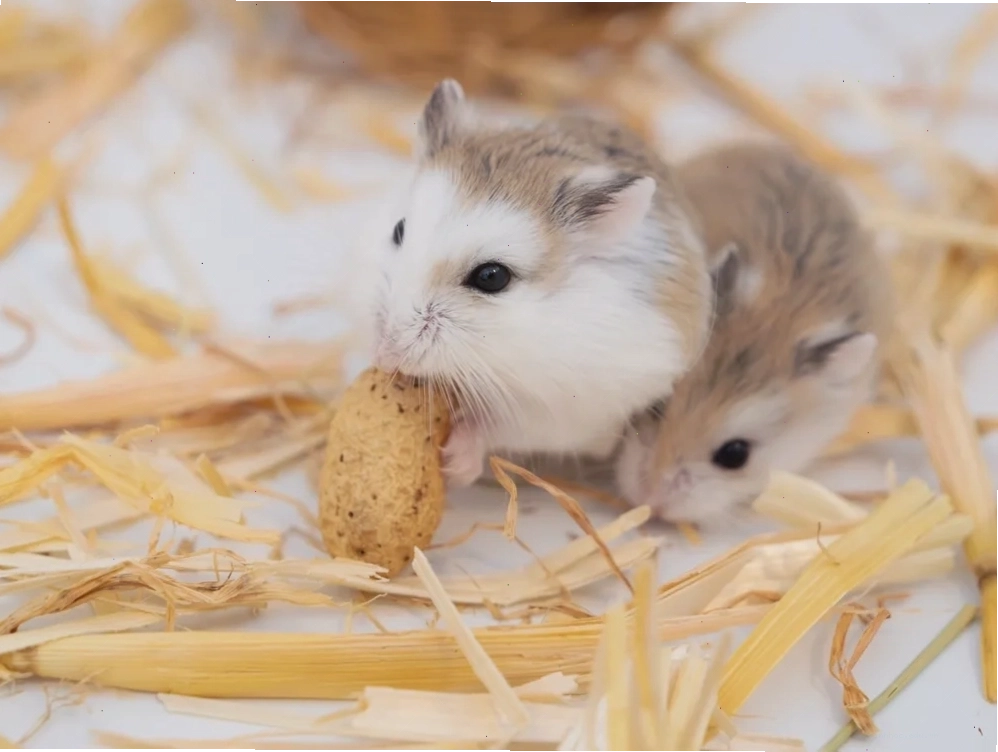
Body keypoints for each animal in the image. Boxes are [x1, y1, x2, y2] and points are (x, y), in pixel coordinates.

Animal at [368, 79, 714, 488]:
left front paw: (455, 465)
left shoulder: (562, 413)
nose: (385, 356)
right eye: (399, 230)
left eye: (492, 277)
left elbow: (495, 427)